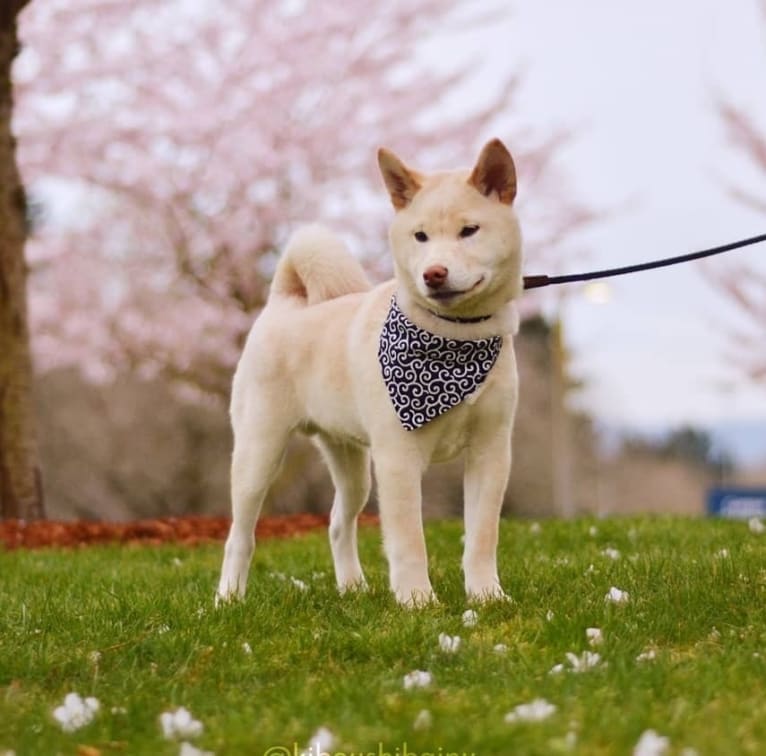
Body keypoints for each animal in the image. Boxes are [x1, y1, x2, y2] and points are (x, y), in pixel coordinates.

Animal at [219, 139, 524, 604]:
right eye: (420, 236)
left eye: (469, 231)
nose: (434, 274)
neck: (455, 338)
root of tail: (283, 304)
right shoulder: (398, 457)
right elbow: (409, 540)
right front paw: (417, 601)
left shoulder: (491, 452)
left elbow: (482, 536)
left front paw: (486, 596)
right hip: (259, 455)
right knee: (240, 535)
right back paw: (228, 599)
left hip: (353, 467)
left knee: (337, 524)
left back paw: (353, 589)